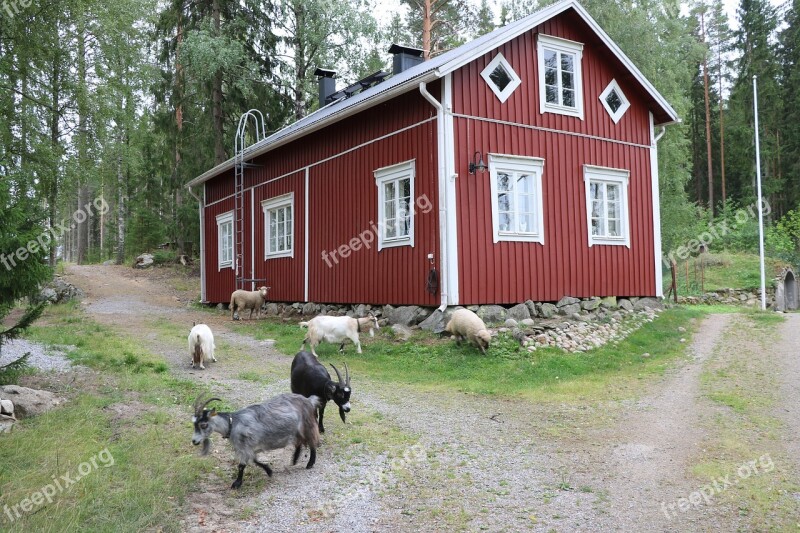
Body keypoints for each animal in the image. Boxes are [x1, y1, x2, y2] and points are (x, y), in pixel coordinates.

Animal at [192, 390, 320, 486]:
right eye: (194, 424)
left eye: (203, 425)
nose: (194, 441)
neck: (233, 424)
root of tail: (309, 400)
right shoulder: (248, 447)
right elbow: (254, 460)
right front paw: (269, 471)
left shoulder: (247, 445)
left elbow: (242, 465)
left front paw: (237, 483)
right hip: (296, 431)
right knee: (299, 443)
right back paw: (294, 460)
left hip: (307, 425)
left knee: (312, 442)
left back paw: (310, 463)